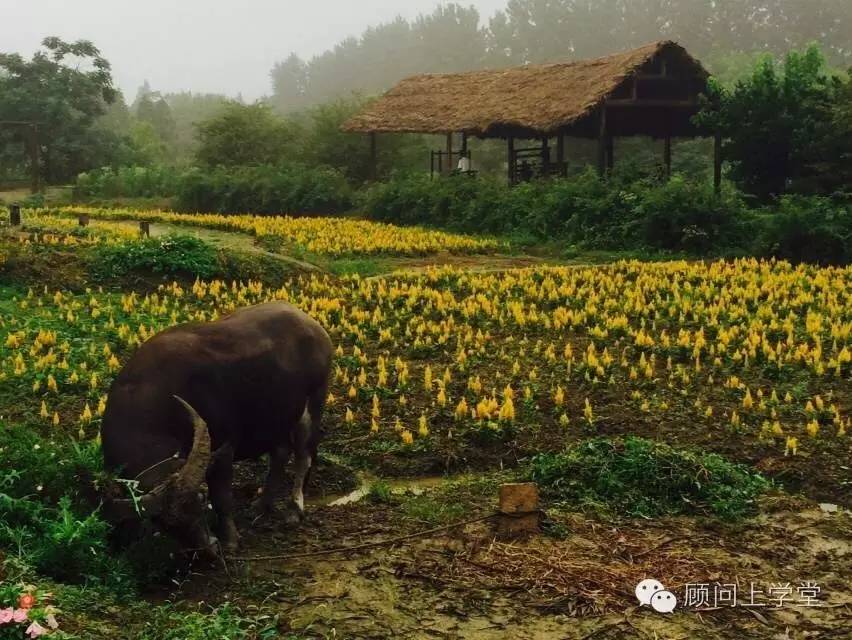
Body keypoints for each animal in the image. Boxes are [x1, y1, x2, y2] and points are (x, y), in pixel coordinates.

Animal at [101, 302, 334, 552]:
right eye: (164, 524)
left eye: (201, 499)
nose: (208, 548)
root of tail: (313, 326)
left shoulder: (223, 446)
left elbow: (222, 497)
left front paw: (230, 540)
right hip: (277, 416)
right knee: (280, 453)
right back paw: (262, 505)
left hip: (313, 403)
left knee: (303, 456)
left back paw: (293, 510)